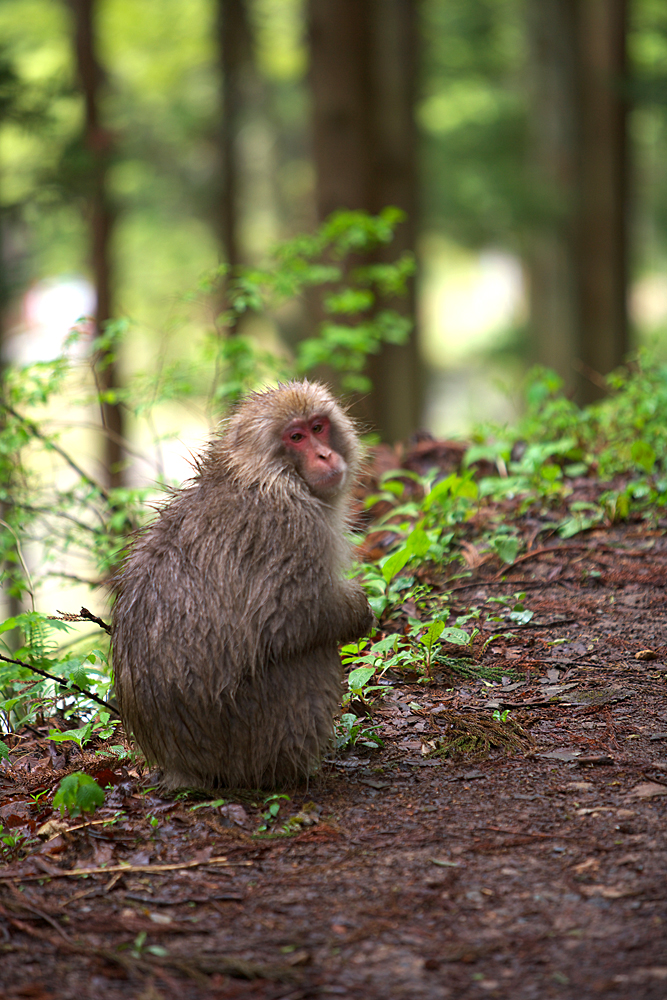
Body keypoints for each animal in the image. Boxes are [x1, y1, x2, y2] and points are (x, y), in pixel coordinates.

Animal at [112, 380, 378, 788]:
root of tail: (180, 764)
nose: (324, 454)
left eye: (318, 427)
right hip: (248, 736)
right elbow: (285, 617)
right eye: (296, 437)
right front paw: (358, 612)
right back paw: (290, 773)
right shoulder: (292, 528)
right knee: (309, 656)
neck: (262, 476)